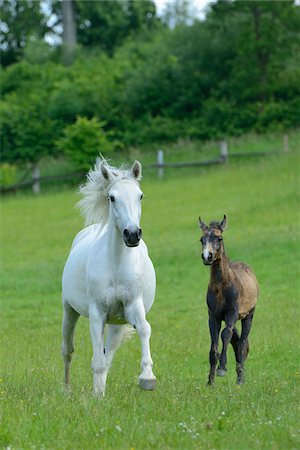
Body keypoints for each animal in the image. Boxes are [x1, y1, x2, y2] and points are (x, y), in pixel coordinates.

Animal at [60, 159, 156, 398]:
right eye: (112, 197)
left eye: (140, 195)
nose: (132, 234)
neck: (116, 265)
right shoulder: (97, 314)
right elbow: (97, 360)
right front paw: (97, 397)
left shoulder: (133, 306)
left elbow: (144, 328)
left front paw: (147, 377)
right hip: (69, 309)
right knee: (68, 350)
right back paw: (67, 390)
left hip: (116, 324)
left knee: (108, 354)